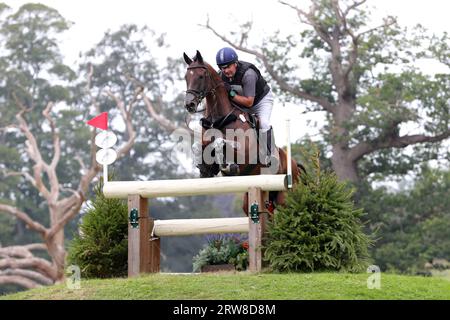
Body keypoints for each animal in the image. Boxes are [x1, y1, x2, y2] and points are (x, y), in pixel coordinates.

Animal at [181, 50, 300, 215]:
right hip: (254, 197)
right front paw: (205, 169)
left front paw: (228, 165)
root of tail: (294, 164)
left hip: (285, 198)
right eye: (186, 77)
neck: (220, 120)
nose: (189, 104)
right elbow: (198, 146)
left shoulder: (245, 152)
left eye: (201, 76)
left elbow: (221, 142)